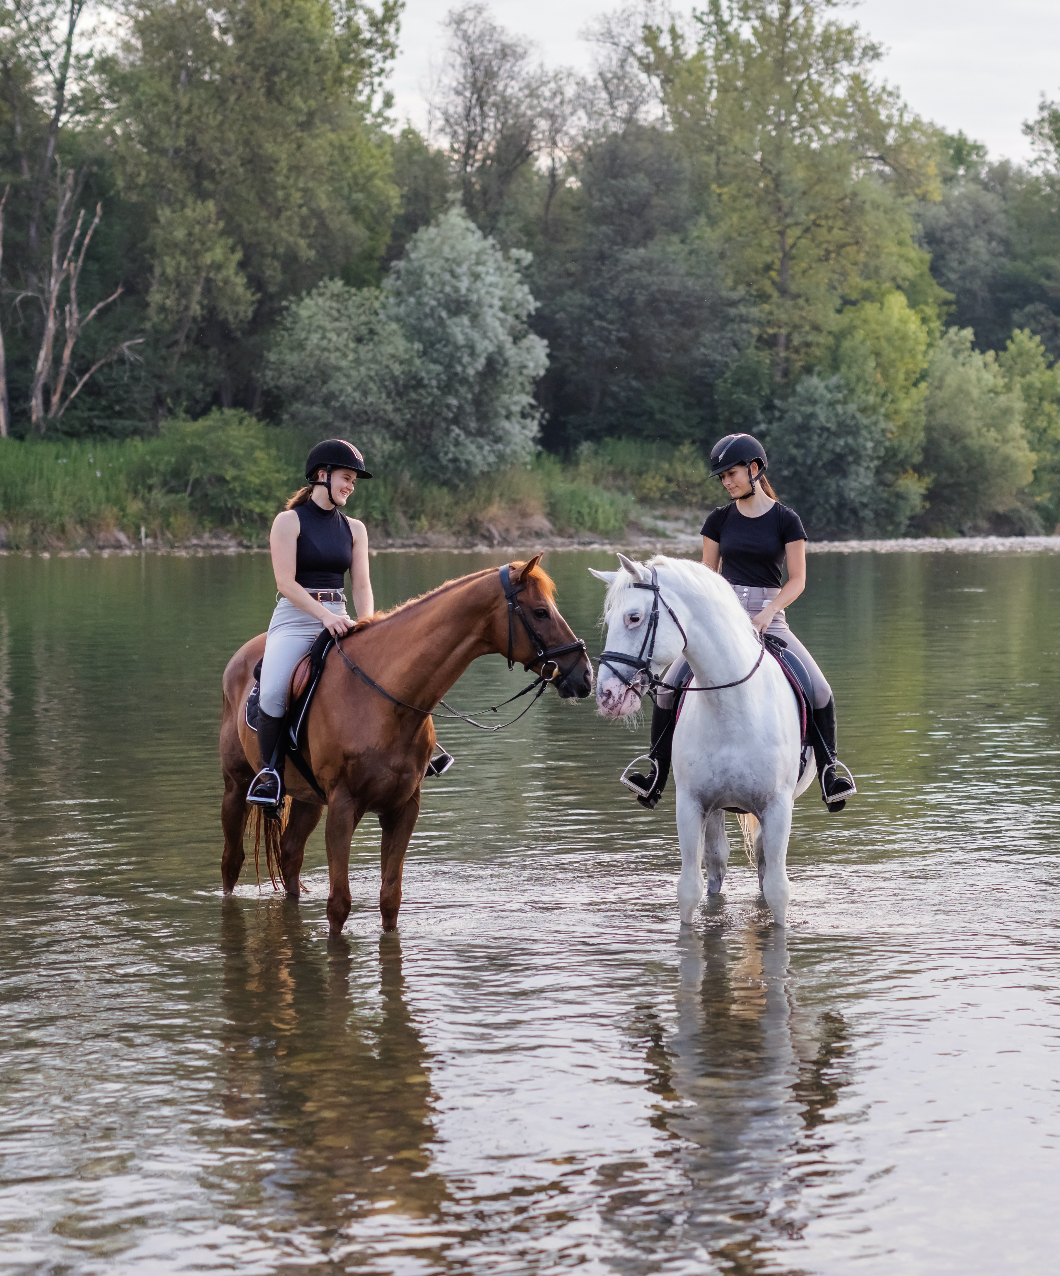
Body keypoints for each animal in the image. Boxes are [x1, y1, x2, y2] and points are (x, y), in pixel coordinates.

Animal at [220, 556, 593, 934]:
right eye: (540, 612)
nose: (585, 675)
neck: (385, 698)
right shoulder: (343, 807)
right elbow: (339, 904)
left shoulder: (403, 807)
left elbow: (390, 899)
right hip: (237, 785)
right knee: (231, 861)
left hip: (310, 799)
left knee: (291, 854)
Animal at [590, 553, 815, 927]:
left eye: (633, 617)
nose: (607, 695)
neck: (734, 707)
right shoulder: (692, 804)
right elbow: (689, 890)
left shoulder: (778, 807)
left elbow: (778, 891)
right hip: (716, 809)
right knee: (717, 864)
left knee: (761, 866)